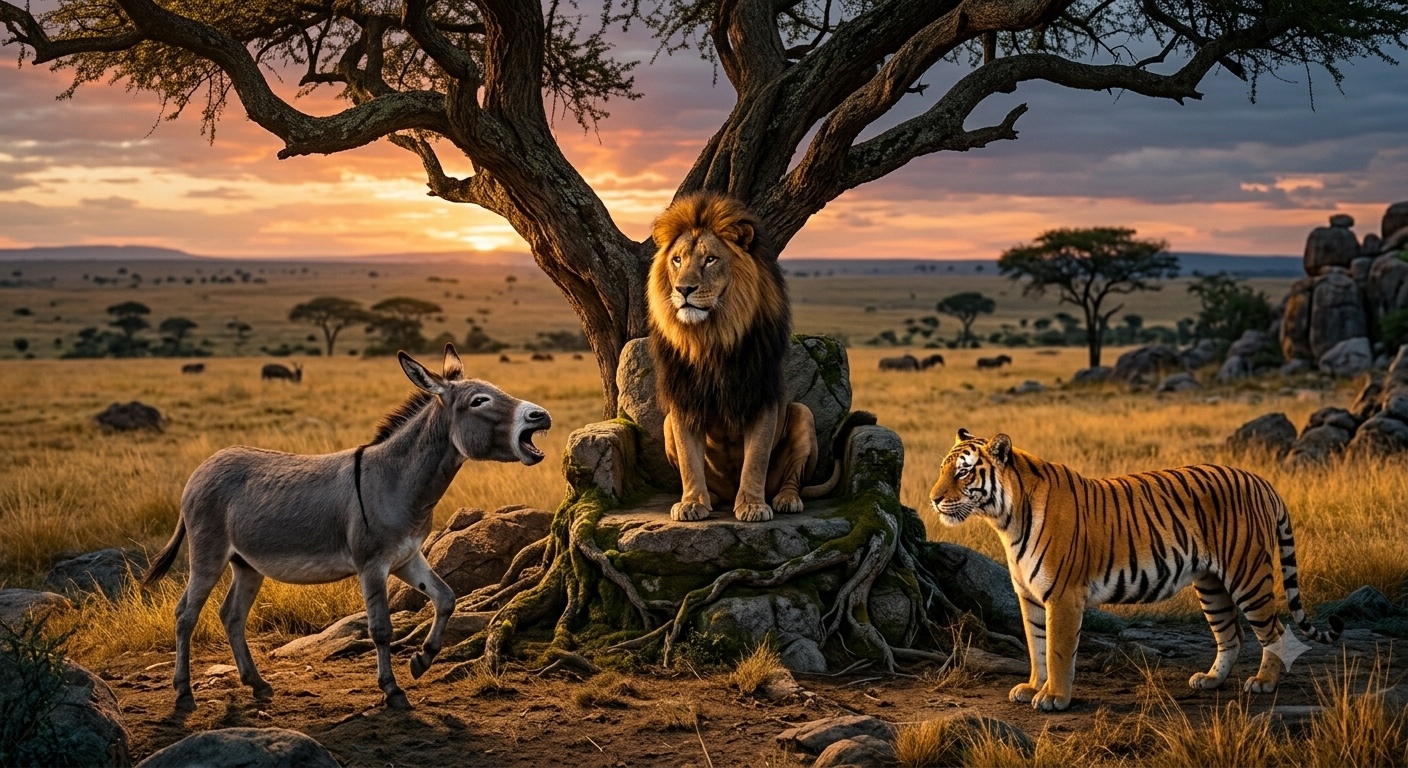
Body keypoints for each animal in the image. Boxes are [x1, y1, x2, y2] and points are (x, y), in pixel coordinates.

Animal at [929, 429, 1343, 711]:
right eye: (942, 470)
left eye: (964, 473)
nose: (932, 499)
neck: (1005, 520)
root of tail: (1261, 480)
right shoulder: (1029, 596)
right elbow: (1036, 646)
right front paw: (1033, 687)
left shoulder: (1063, 596)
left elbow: (1058, 650)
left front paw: (1054, 698)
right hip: (1211, 585)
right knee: (1231, 634)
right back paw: (1210, 680)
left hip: (1248, 574)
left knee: (1273, 630)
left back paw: (1263, 683)